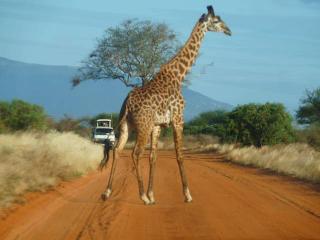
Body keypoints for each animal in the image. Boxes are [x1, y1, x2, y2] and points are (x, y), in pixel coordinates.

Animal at [101, 5, 231, 204]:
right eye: (217, 21)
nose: (229, 31)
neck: (178, 76)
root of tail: (128, 103)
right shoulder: (178, 119)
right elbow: (179, 155)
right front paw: (187, 195)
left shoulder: (158, 126)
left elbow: (153, 157)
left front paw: (152, 194)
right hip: (143, 126)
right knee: (135, 153)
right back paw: (141, 197)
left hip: (126, 125)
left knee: (117, 150)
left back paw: (107, 192)